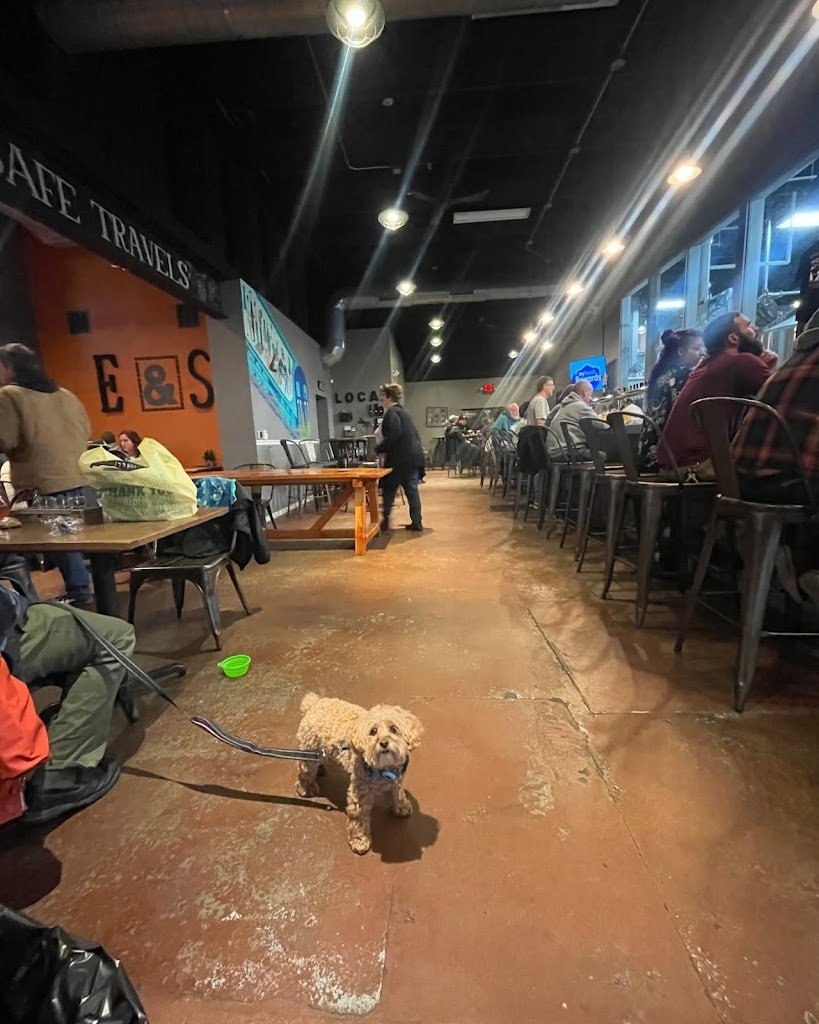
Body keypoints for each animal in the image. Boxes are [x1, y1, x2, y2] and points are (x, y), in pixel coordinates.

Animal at [295, 693, 423, 854]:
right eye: (373, 731)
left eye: (394, 728)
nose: (383, 743)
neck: (384, 767)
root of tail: (314, 702)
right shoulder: (359, 793)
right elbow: (359, 818)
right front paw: (359, 841)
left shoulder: (397, 779)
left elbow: (398, 792)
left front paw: (402, 807)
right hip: (308, 751)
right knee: (304, 771)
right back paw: (306, 789)